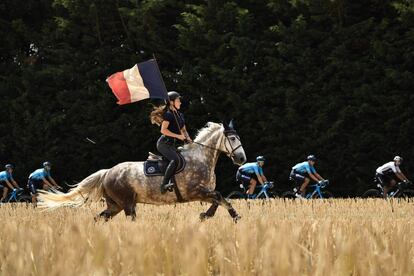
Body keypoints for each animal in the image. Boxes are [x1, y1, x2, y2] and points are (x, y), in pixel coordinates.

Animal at [38, 122, 246, 221]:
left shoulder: (204, 193)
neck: (201, 157)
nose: (242, 159)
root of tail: (107, 172)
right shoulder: (195, 192)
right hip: (127, 203)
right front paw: (225, 216)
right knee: (128, 219)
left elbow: (221, 199)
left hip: (115, 205)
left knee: (99, 218)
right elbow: (220, 197)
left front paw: (212, 216)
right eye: (233, 139)